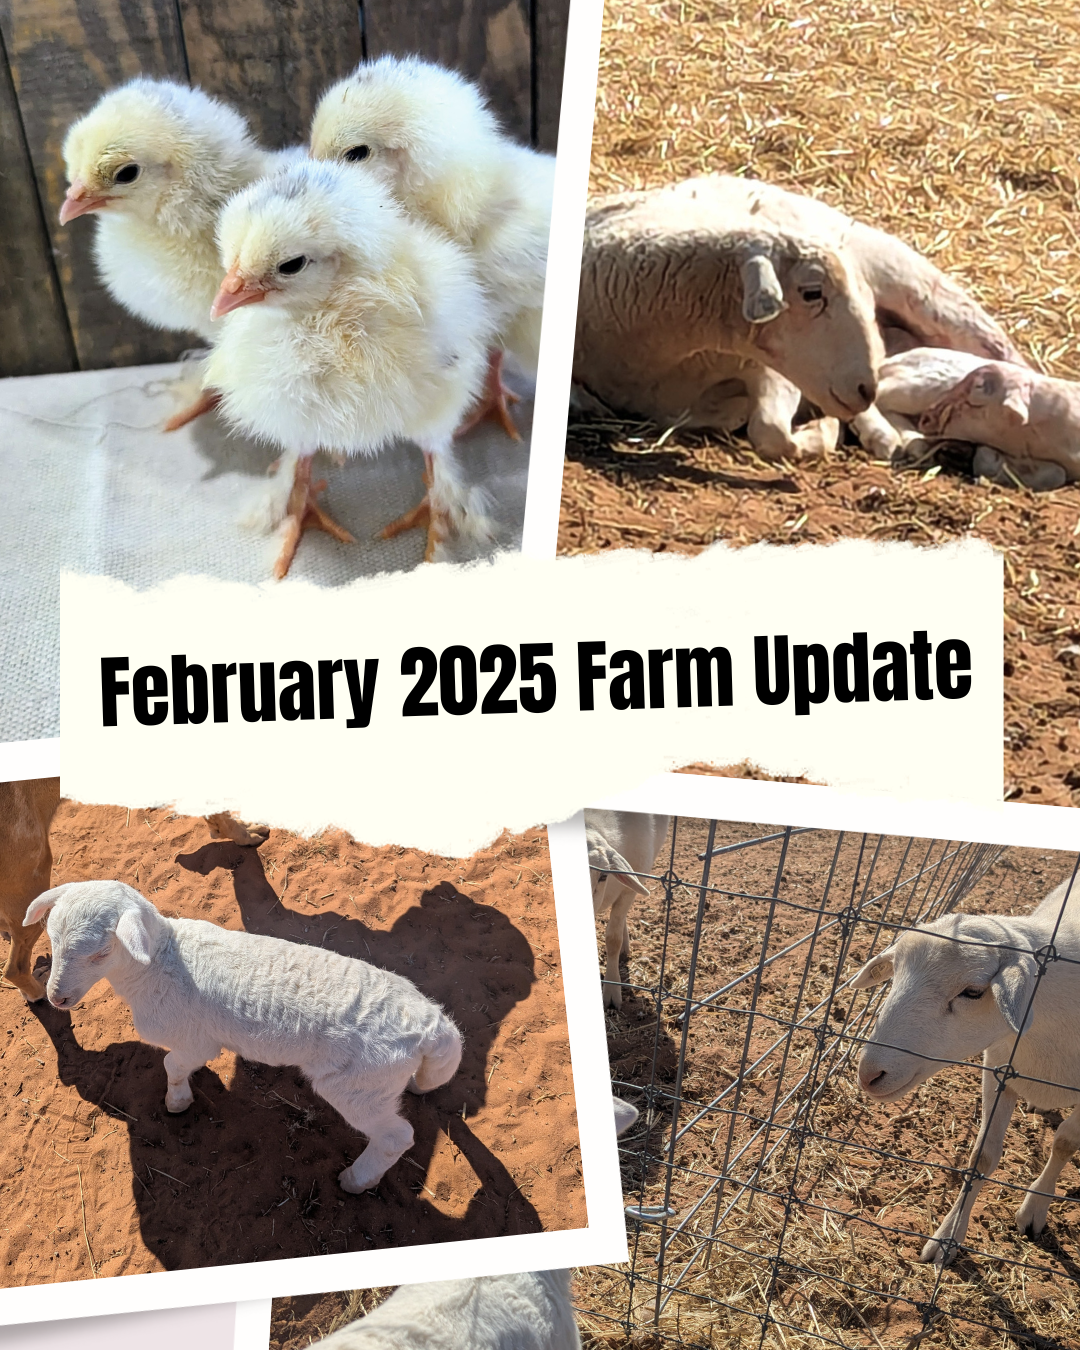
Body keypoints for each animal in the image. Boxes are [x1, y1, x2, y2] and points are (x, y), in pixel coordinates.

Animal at [24, 880, 462, 1193]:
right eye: (51, 940)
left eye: (99, 954)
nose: (57, 998)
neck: (156, 962)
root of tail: (431, 1024)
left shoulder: (196, 1039)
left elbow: (171, 1064)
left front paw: (177, 1102)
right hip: (380, 1080)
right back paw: (419, 1085)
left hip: (357, 1084)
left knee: (394, 1137)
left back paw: (358, 1180)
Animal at [574, 175, 1022, 462]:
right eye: (811, 293)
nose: (865, 387)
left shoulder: (774, 369)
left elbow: (770, 432)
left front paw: (819, 433)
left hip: (922, 290)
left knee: (1006, 355)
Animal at [851, 875, 1080, 1266]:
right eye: (895, 974)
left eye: (973, 992)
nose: (869, 1075)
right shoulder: (998, 1069)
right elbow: (982, 1157)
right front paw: (948, 1235)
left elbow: (1065, 1143)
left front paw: (1035, 1207)